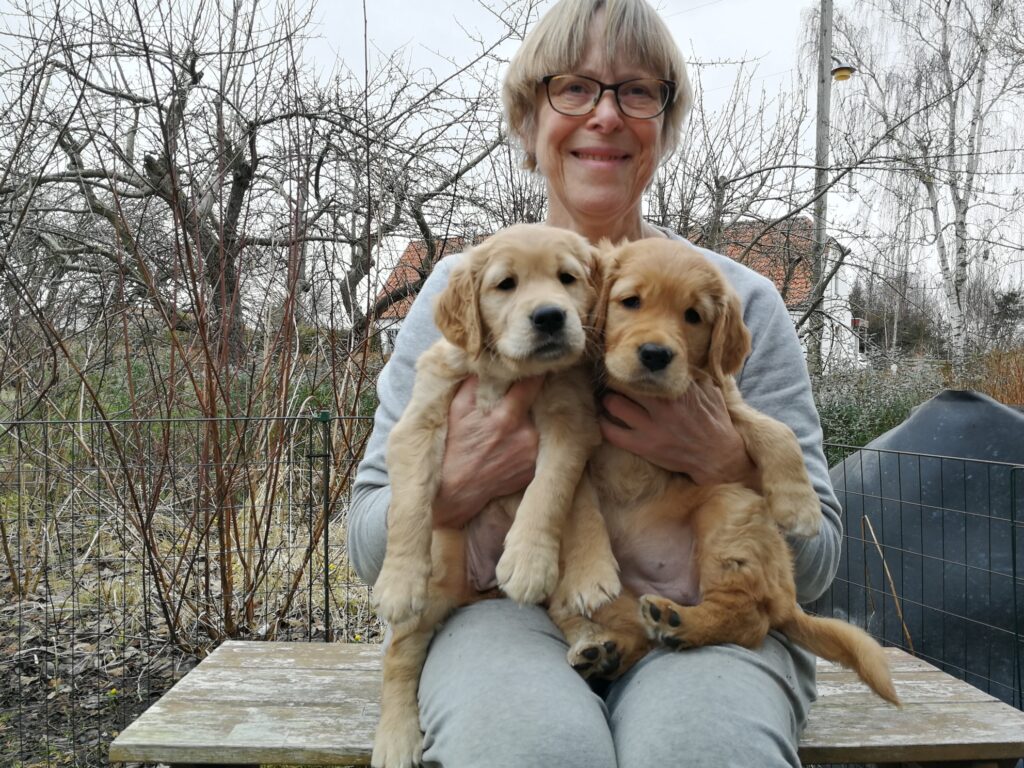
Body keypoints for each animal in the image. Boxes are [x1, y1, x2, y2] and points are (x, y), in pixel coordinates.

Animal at [372, 225, 618, 768]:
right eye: (506, 284)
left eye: (567, 278)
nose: (549, 316)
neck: (506, 374)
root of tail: (479, 591)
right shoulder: (417, 425)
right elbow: (409, 506)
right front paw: (396, 580)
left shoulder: (569, 423)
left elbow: (546, 492)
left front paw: (525, 561)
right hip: (435, 590)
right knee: (400, 657)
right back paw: (395, 736)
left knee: (565, 603)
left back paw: (591, 646)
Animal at [565, 240, 901, 708]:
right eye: (630, 301)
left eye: (693, 316)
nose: (655, 355)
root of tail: (787, 600)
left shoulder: (722, 400)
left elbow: (777, 430)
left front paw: (801, 506)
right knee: (635, 632)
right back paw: (602, 650)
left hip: (729, 514)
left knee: (746, 618)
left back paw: (677, 621)